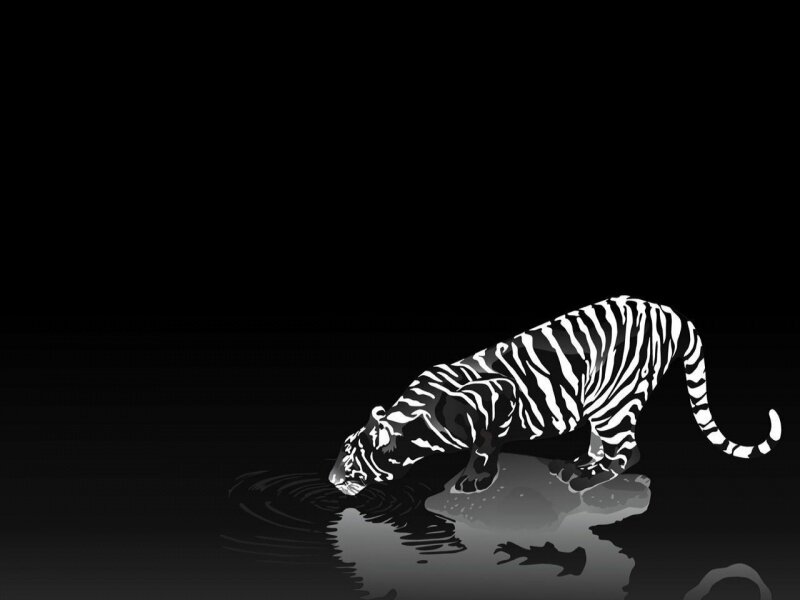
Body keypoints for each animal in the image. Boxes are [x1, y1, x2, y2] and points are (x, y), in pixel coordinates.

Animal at [328, 296, 782, 495]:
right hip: (601, 402)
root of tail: (666, 310)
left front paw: (474, 479)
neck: (415, 421)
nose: (331, 480)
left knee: (628, 451)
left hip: (613, 402)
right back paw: (579, 464)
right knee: (605, 443)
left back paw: (586, 478)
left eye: (351, 459)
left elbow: (484, 445)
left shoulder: (498, 397)